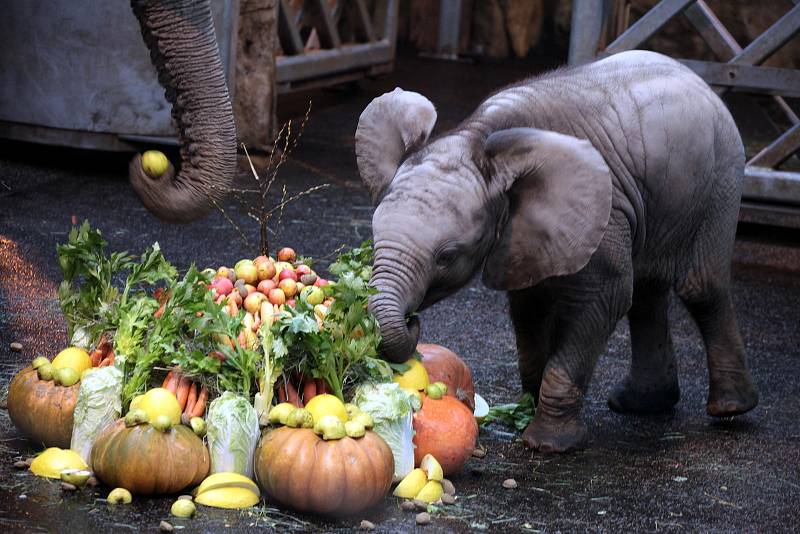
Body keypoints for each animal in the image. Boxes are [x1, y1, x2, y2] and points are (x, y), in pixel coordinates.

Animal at [356, 50, 756, 454]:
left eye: (447, 256)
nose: (411, 321)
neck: (477, 136)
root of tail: (697, 78)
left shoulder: (603, 211)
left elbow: (606, 297)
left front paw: (548, 444)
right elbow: (530, 307)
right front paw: (528, 410)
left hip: (720, 177)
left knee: (699, 287)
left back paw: (729, 410)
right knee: (647, 293)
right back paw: (640, 405)